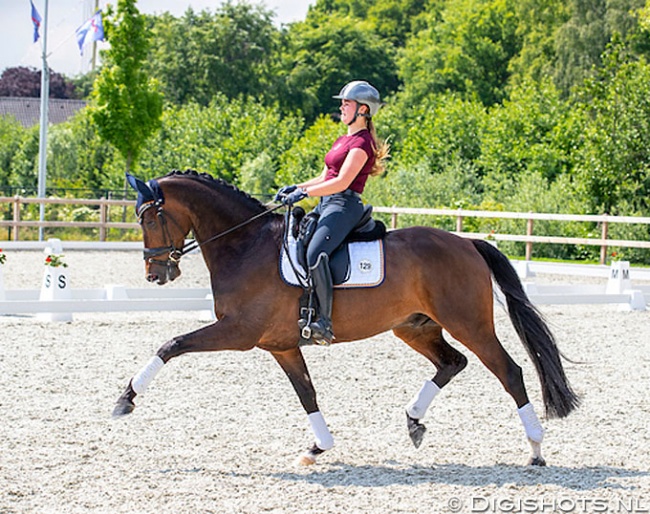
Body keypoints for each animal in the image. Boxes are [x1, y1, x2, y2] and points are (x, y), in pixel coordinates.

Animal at [112, 168, 576, 464]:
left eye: (147, 218)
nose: (156, 274)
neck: (245, 245)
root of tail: (467, 243)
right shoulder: (280, 345)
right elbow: (307, 393)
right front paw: (318, 447)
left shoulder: (238, 332)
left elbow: (171, 345)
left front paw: (125, 399)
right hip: (414, 327)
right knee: (452, 362)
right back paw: (413, 421)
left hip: (470, 324)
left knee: (509, 371)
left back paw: (535, 448)